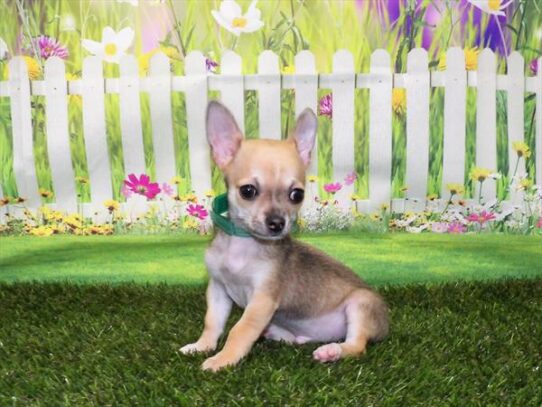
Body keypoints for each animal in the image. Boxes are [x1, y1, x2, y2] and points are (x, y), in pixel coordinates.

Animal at [181, 100, 388, 372]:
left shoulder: (262, 300)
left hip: (360, 304)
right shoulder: (217, 291)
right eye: (248, 191)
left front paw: (223, 359)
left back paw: (331, 351)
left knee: (357, 346)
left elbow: (240, 330)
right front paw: (201, 346)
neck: (242, 245)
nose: (278, 223)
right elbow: (212, 323)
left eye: (297, 195)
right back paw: (275, 334)